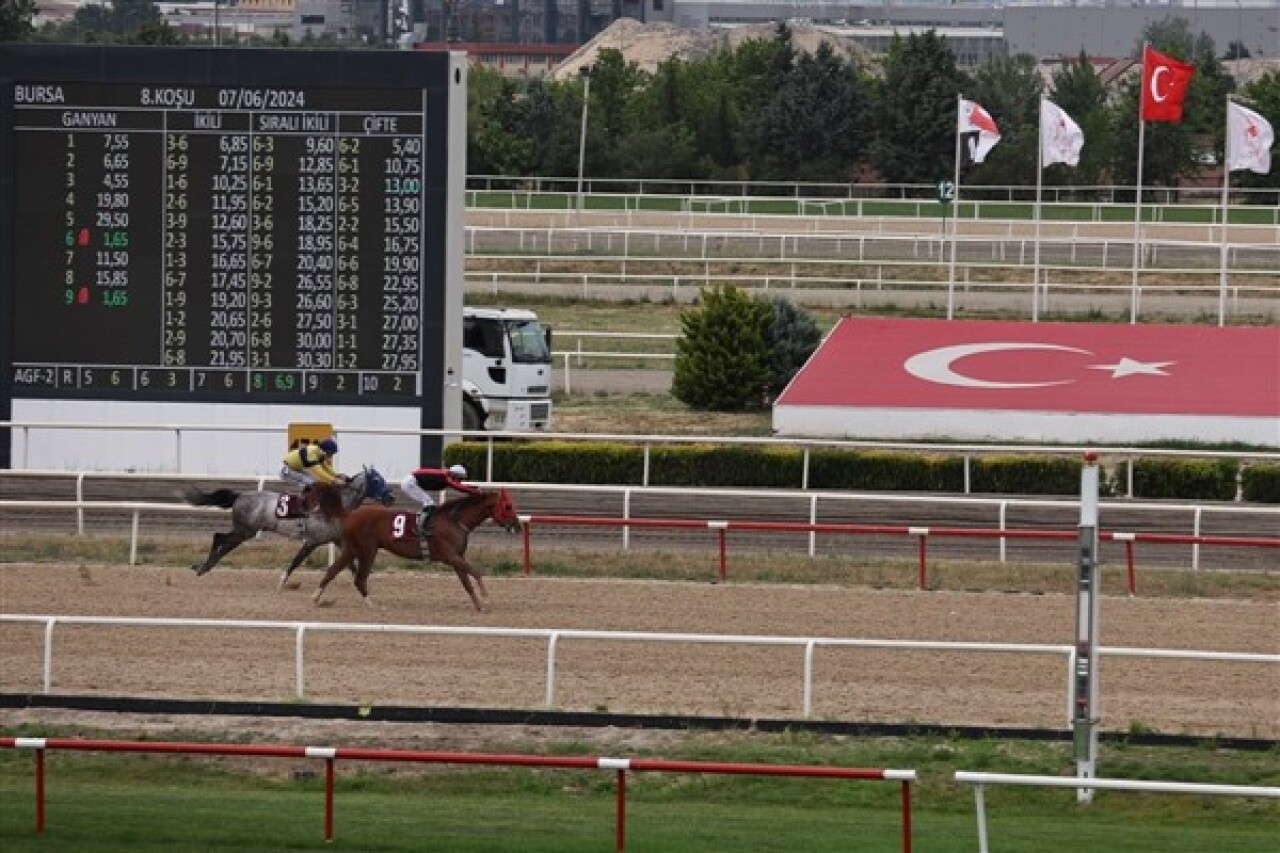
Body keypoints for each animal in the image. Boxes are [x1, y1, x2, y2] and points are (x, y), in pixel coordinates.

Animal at [184, 466, 394, 584]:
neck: (335, 505)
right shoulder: (312, 541)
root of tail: (240, 495)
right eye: (377, 480)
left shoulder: (336, 539)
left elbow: (350, 564)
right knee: (220, 538)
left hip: (245, 531)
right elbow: (296, 561)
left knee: (224, 542)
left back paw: (203, 567)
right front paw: (282, 580)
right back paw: (203, 567)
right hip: (245, 530)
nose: (391, 497)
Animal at [311, 489, 519, 607]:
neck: (455, 520)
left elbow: (466, 582)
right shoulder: (451, 556)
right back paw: (372, 604)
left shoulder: (456, 558)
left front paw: (478, 604)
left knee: (332, 570)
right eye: (508, 507)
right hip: (367, 550)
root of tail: (349, 513)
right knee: (359, 578)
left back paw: (316, 598)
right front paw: (485, 596)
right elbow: (476, 572)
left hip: (352, 549)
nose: (517, 526)